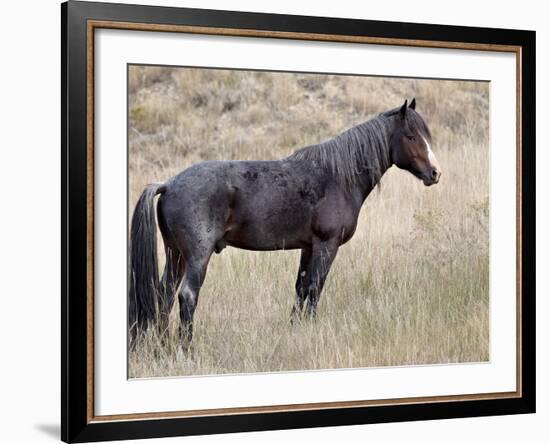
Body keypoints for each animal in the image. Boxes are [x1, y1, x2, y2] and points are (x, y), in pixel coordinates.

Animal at [129, 99, 444, 346]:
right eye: (411, 136)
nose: (435, 172)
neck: (336, 177)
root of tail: (169, 183)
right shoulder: (326, 245)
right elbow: (315, 289)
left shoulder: (308, 247)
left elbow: (301, 289)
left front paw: (296, 330)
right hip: (196, 256)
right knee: (187, 296)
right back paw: (186, 348)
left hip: (176, 255)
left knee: (164, 296)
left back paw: (163, 346)